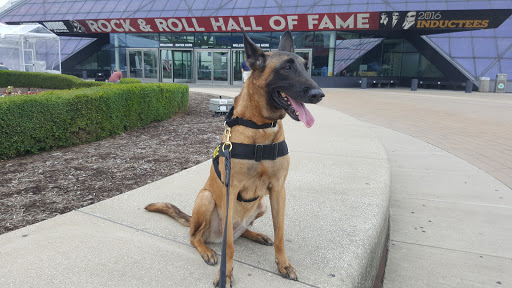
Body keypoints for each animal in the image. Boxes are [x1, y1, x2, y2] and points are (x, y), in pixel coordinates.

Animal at [146, 30, 324, 286]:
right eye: (287, 67)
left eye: (305, 66)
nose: (319, 94)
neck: (260, 128)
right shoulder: (230, 190)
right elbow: (229, 246)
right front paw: (226, 274)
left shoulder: (278, 190)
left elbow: (280, 234)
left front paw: (283, 264)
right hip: (206, 198)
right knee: (196, 236)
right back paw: (208, 251)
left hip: (260, 204)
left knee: (240, 231)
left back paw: (256, 234)